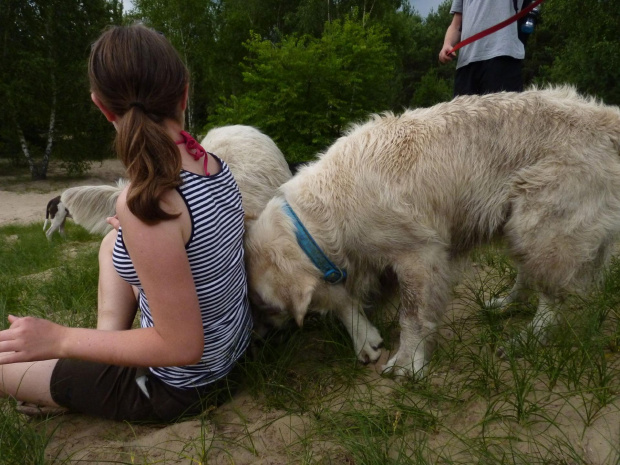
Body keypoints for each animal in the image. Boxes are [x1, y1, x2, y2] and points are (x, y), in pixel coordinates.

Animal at [243, 86, 620, 376]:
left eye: (262, 303)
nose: (256, 337)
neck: (320, 216)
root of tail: (606, 117)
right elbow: (345, 299)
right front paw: (365, 338)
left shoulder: (420, 257)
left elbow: (412, 315)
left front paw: (408, 363)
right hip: (519, 224)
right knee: (528, 274)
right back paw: (506, 304)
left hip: (543, 225)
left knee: (552, 299)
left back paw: (525, 340)